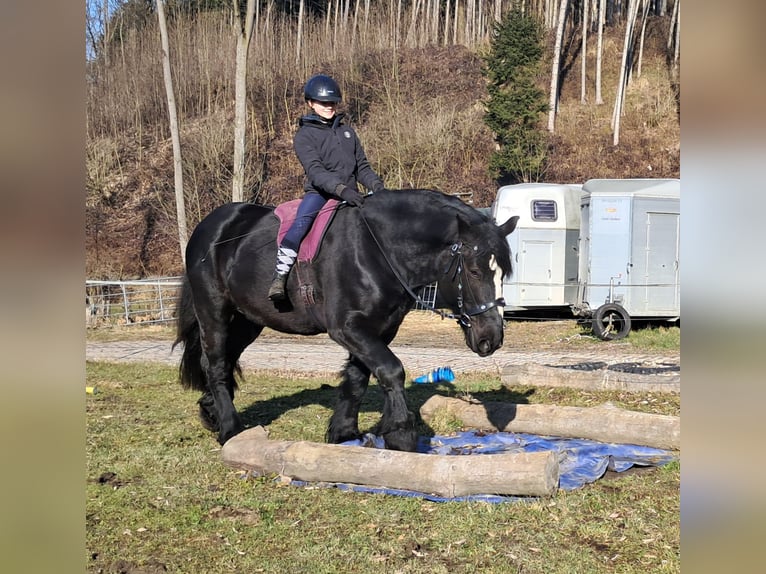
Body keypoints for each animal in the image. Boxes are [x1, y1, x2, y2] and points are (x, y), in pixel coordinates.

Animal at [176, 191, 520, 452]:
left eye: (503, 272)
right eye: (474, 271)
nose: (491, 338)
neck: (377, 250)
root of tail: (210, 227)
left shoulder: (379, 328)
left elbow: (358, 378)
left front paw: (343, 433)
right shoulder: (348, 328)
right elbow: (391, 370)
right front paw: (400, 434)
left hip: (248, 320)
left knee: (222, 360)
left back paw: (211, 412)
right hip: (214, 312)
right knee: (216, 364)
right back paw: (230, 429)